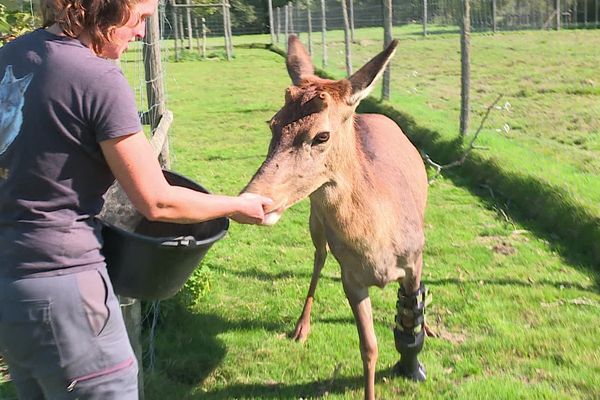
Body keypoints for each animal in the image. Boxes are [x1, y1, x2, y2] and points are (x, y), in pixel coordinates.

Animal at [244, 36, 432, 398]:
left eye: (322, 135)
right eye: (272, 123)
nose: (254, 198)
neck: (379, 246)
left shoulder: (415, 258)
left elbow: (409, 321)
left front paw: (415, 360)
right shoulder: (351, 277)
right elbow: (368, 347)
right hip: (315, 220)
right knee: (319, 258)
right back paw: (301, 328)